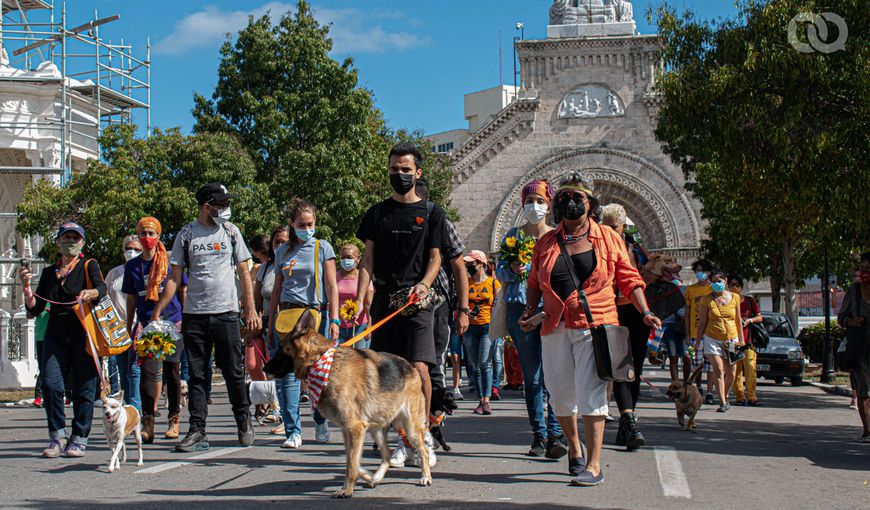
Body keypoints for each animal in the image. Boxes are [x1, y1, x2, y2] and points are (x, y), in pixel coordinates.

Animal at [262, 308, 432, 496]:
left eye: (279, 349)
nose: (264, 368)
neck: (320, 362)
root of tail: (412, 368)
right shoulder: (349, 430)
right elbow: (352, 460)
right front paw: (365, 477)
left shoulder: (354, 428)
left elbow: (352, 463)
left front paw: (346, 489)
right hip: (375, 429)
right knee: (387, 454)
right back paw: (376, 478)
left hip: (411, 428)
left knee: (423, 450)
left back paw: (426, 477)